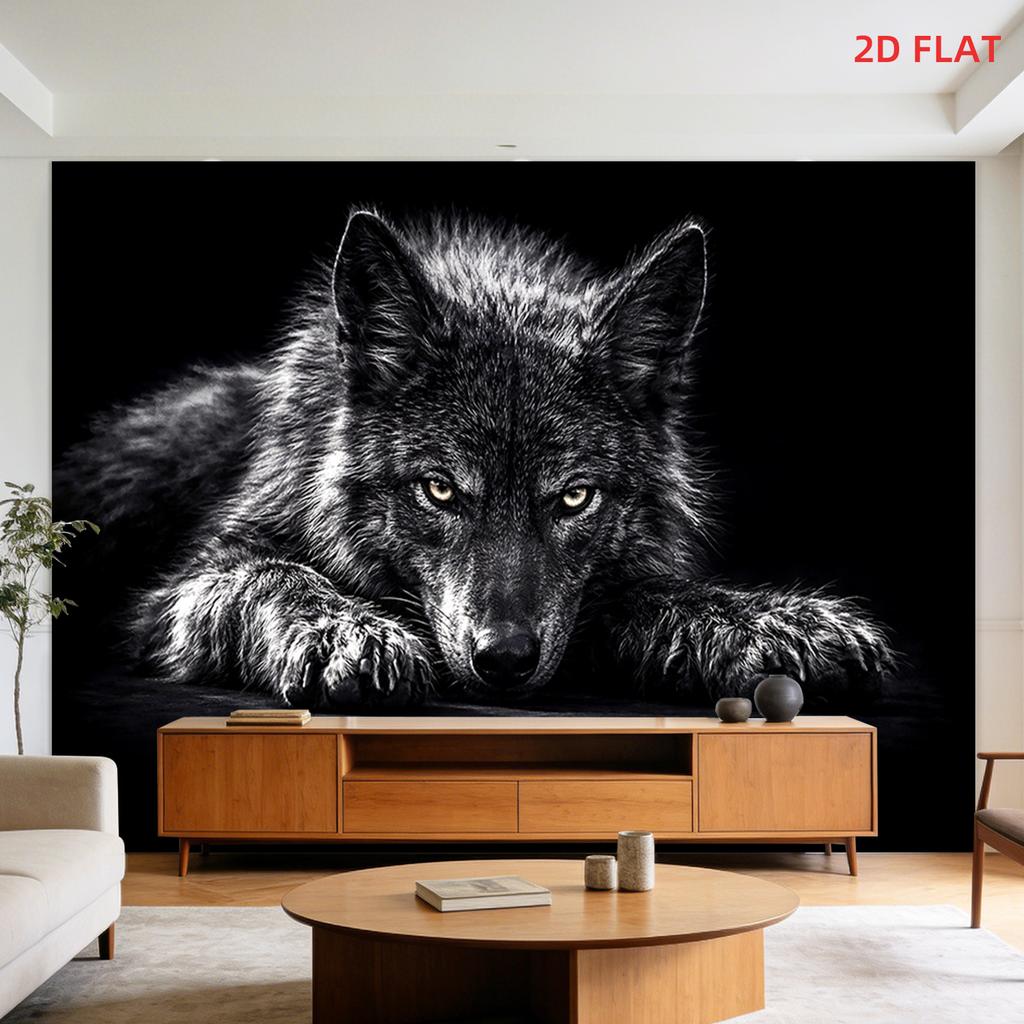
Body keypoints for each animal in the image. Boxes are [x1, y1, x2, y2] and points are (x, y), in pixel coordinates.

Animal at [61, 208, 892, 707]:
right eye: (439, 490)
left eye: (574, 498)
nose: (505, 658)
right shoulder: (190, 585)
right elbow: (275, 576)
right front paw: (344, 630)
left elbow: (649, 595)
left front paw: (768, 621)